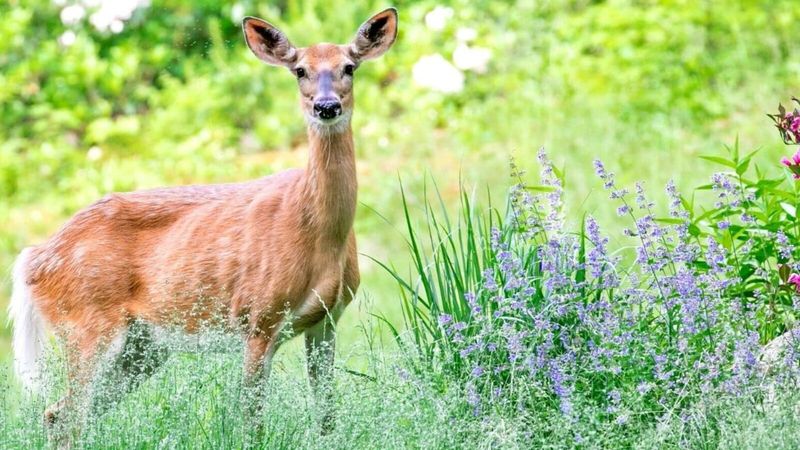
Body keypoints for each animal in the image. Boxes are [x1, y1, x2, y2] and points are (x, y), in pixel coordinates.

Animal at [8, 7, 398, 434]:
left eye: (349, 67)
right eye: (299, 70)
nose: (326, 106)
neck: (319, 234)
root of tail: (33, 258)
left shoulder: (327, 320)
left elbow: (327, 418)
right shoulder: (258, 317)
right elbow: (252, 422)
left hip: (141, 346)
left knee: (59, 413)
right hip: (85, 324)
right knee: (69, 414)